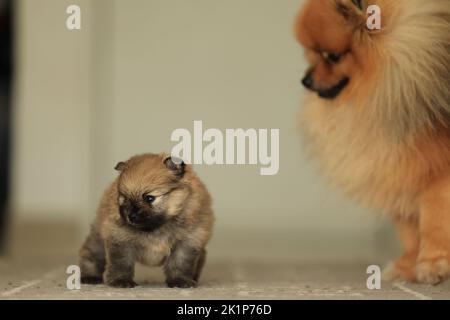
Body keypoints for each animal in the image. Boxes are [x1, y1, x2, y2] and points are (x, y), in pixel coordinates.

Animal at [79, 152, 214, 288]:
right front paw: (121, 280)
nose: (131, 216)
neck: (157, 227)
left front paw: (180, 280)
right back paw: (90, 277)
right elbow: (121, 263)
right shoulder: (120, 239)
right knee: (92, 254)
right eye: (124, 199)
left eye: (149, 198)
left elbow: (180, 263)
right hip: (98, 237)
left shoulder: (187, 241)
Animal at [296, 0, 450, 284]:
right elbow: (409, 230)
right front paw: (407, 266)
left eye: (332, 56)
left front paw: (434, 264)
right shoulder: (394, 169)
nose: (306, 80)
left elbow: (433, 223)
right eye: (311, 54)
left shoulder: (436, 175)